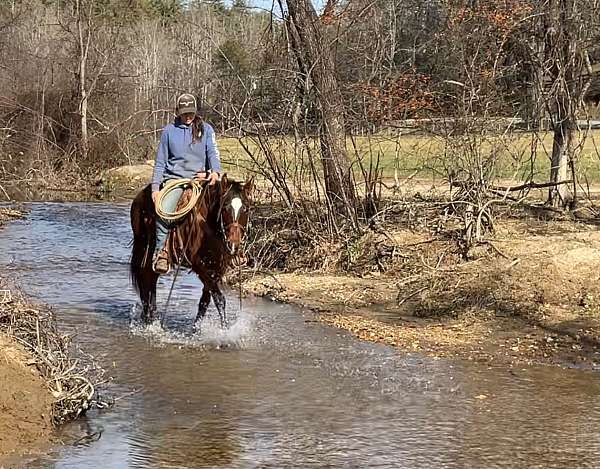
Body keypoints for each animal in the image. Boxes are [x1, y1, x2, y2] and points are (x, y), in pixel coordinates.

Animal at [130, 177, 252, 328]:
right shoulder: (200, 267)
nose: (234, 243)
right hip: (144, 250)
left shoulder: (217, 269)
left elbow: (205, 302)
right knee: (146, 282)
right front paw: (225, 330)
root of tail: (139, 196)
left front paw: (196, 329)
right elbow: (219, 299)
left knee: (151, 284)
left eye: (245, 209)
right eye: (225, 208)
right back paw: (149, 321)